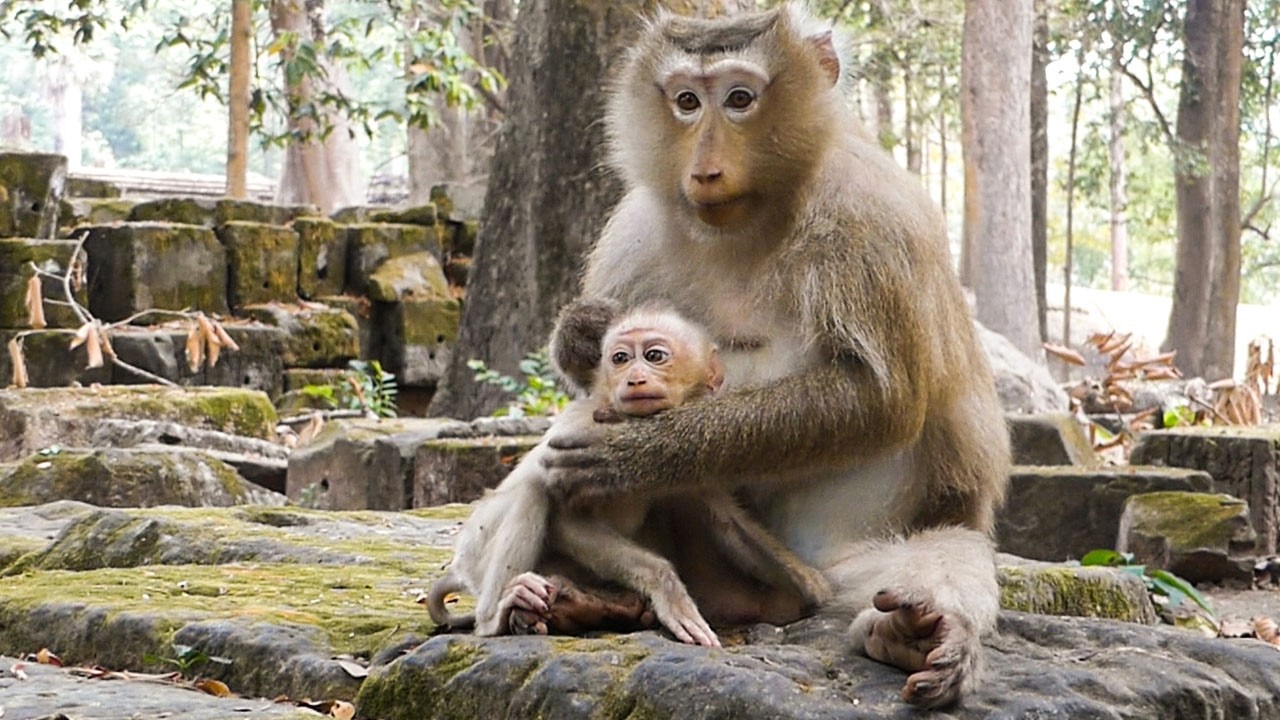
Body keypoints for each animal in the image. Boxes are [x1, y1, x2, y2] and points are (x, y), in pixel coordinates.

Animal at [426, 306, 831, 647]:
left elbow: (726, 523)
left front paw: (811, 584)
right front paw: (668, 589)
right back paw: (496, 618)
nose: (634, 379)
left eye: (654, 356)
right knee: (533, 490)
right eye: (620, 359)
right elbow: (566, 518)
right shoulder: (583, 433)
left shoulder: (690, 457)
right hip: (476, 549)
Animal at [539, 4, 1010, 710]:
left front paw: (640, 455)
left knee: (938, 551)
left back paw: (916, 631)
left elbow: (879, 398)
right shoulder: (638, 229)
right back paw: (582, 602)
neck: (750, 219)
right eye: (686, 101)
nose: (705, 168)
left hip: (846, 572)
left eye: (739, 99)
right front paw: (580, 333)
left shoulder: (869, 217)